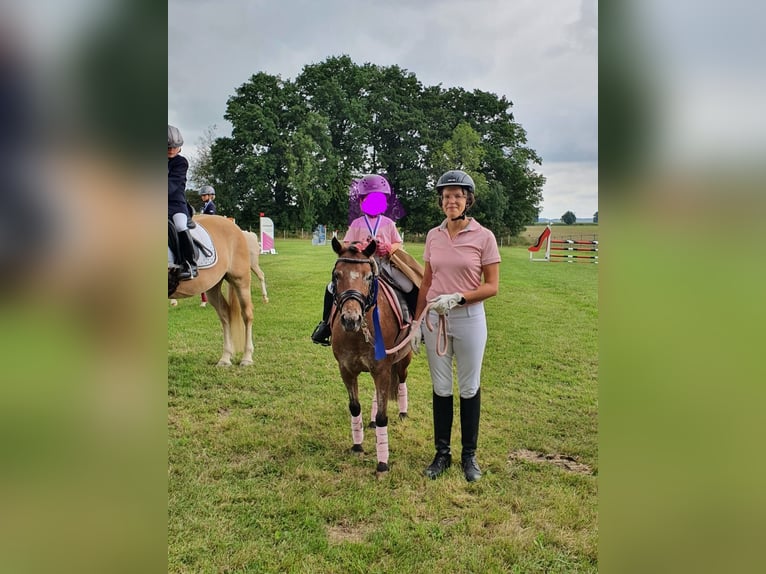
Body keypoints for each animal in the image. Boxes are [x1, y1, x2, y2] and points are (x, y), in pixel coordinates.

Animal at [170, 216, 268, 368]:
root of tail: (239, 230)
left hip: (241, 280)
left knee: (247, 315)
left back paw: (247, 357)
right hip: (213, 286)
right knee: (225, 315)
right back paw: (225, 358)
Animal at [330, 238, 414, 476]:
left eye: (368, 276)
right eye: (336, 275)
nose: (351, 319)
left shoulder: (382, 370)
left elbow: (383, 416)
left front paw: (382, 463)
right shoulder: (346, 370)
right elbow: (355, 407)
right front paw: (357, 445)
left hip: (403, 360)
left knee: (402, 379)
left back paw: (403, 413)